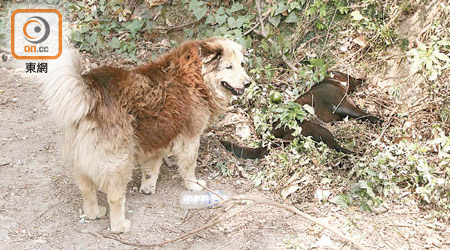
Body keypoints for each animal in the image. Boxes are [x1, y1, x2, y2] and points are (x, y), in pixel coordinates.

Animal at [41, 37, 251, 232]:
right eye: (228, 66)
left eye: (242, 64)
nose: (248, 83)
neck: (196, 75)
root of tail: (91, 93)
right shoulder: (190, 138)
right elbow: (189, 167)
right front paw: (193, 185)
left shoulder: (156, 136)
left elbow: (152, 167)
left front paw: (148, 186)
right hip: (119, 163)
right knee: (115, 198)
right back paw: (120, 226)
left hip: (80, 163)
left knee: (87, 190)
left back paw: (95, 213)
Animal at [220, 71, 382, 159]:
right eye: (351, 76)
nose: (363, 78)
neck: (331, 81)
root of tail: (273, 135)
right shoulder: (343, 105)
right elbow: (363, 114)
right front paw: (379, 120)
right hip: (320, 130)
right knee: (336, 147)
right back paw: (359, 153)